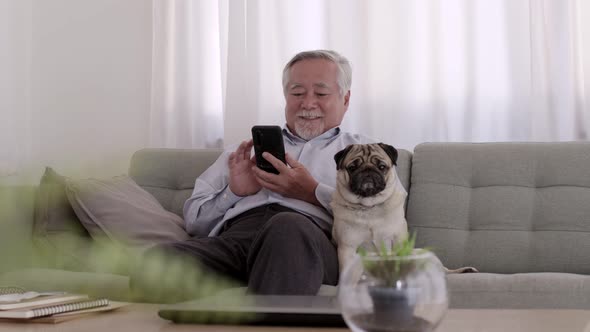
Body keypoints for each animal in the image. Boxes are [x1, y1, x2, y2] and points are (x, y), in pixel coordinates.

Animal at [330, 143, 478, 274]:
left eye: (381, 166)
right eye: (352, 168)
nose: (367, 171)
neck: (370, 206)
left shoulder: (398, 242)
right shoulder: (348, 248)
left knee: (444, 272)